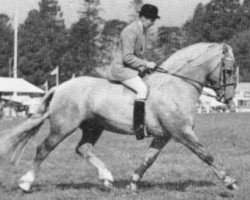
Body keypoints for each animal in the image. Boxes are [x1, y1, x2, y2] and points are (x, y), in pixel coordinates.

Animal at [0, 41, 237, 192]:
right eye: (229, 69)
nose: (229, 98)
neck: (176, 85)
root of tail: (59, 87)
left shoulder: (164, 136)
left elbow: (149, 159)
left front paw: (132, 183)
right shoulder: (182, 132)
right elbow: (206, 155)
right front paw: (229, 181)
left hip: (93, 127)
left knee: (83, 149)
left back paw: (106, 178)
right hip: (63, 127)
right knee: (43, 149)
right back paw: (26, 184)